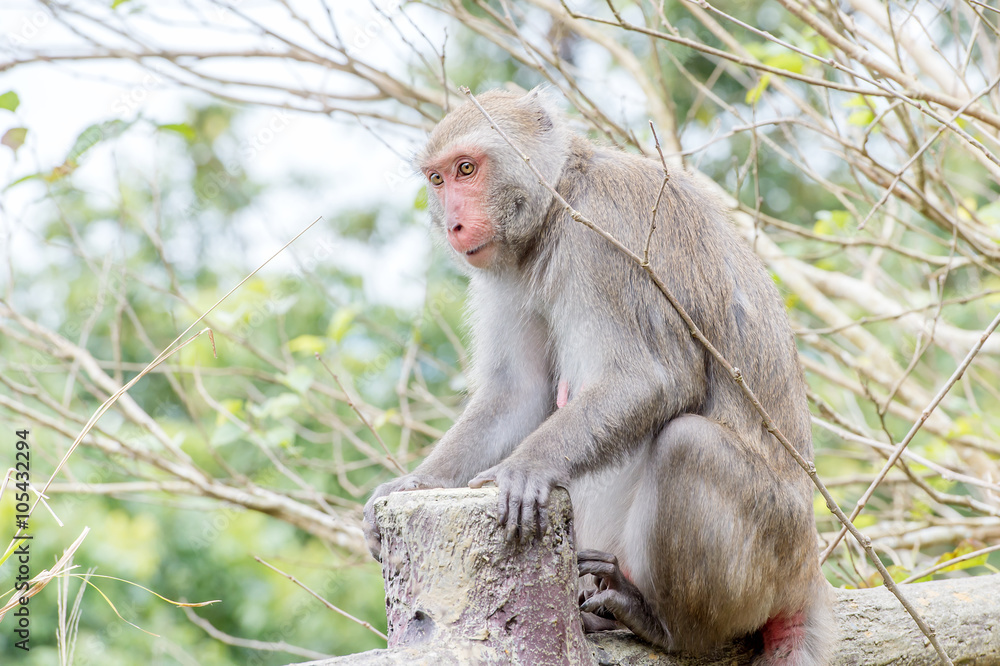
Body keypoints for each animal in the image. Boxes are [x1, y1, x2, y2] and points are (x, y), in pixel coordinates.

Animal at [364, 89, 832, 664]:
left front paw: (526, 468)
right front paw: (413, 482)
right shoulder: (509, 270)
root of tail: (808, 572)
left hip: (770, 556)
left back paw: (662, 625)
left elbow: (651, 378)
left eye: (467, 169)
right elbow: (518, 394)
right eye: (437, 179)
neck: (558, 203)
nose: (452, 224)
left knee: (688, 443)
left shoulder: (604, 237)